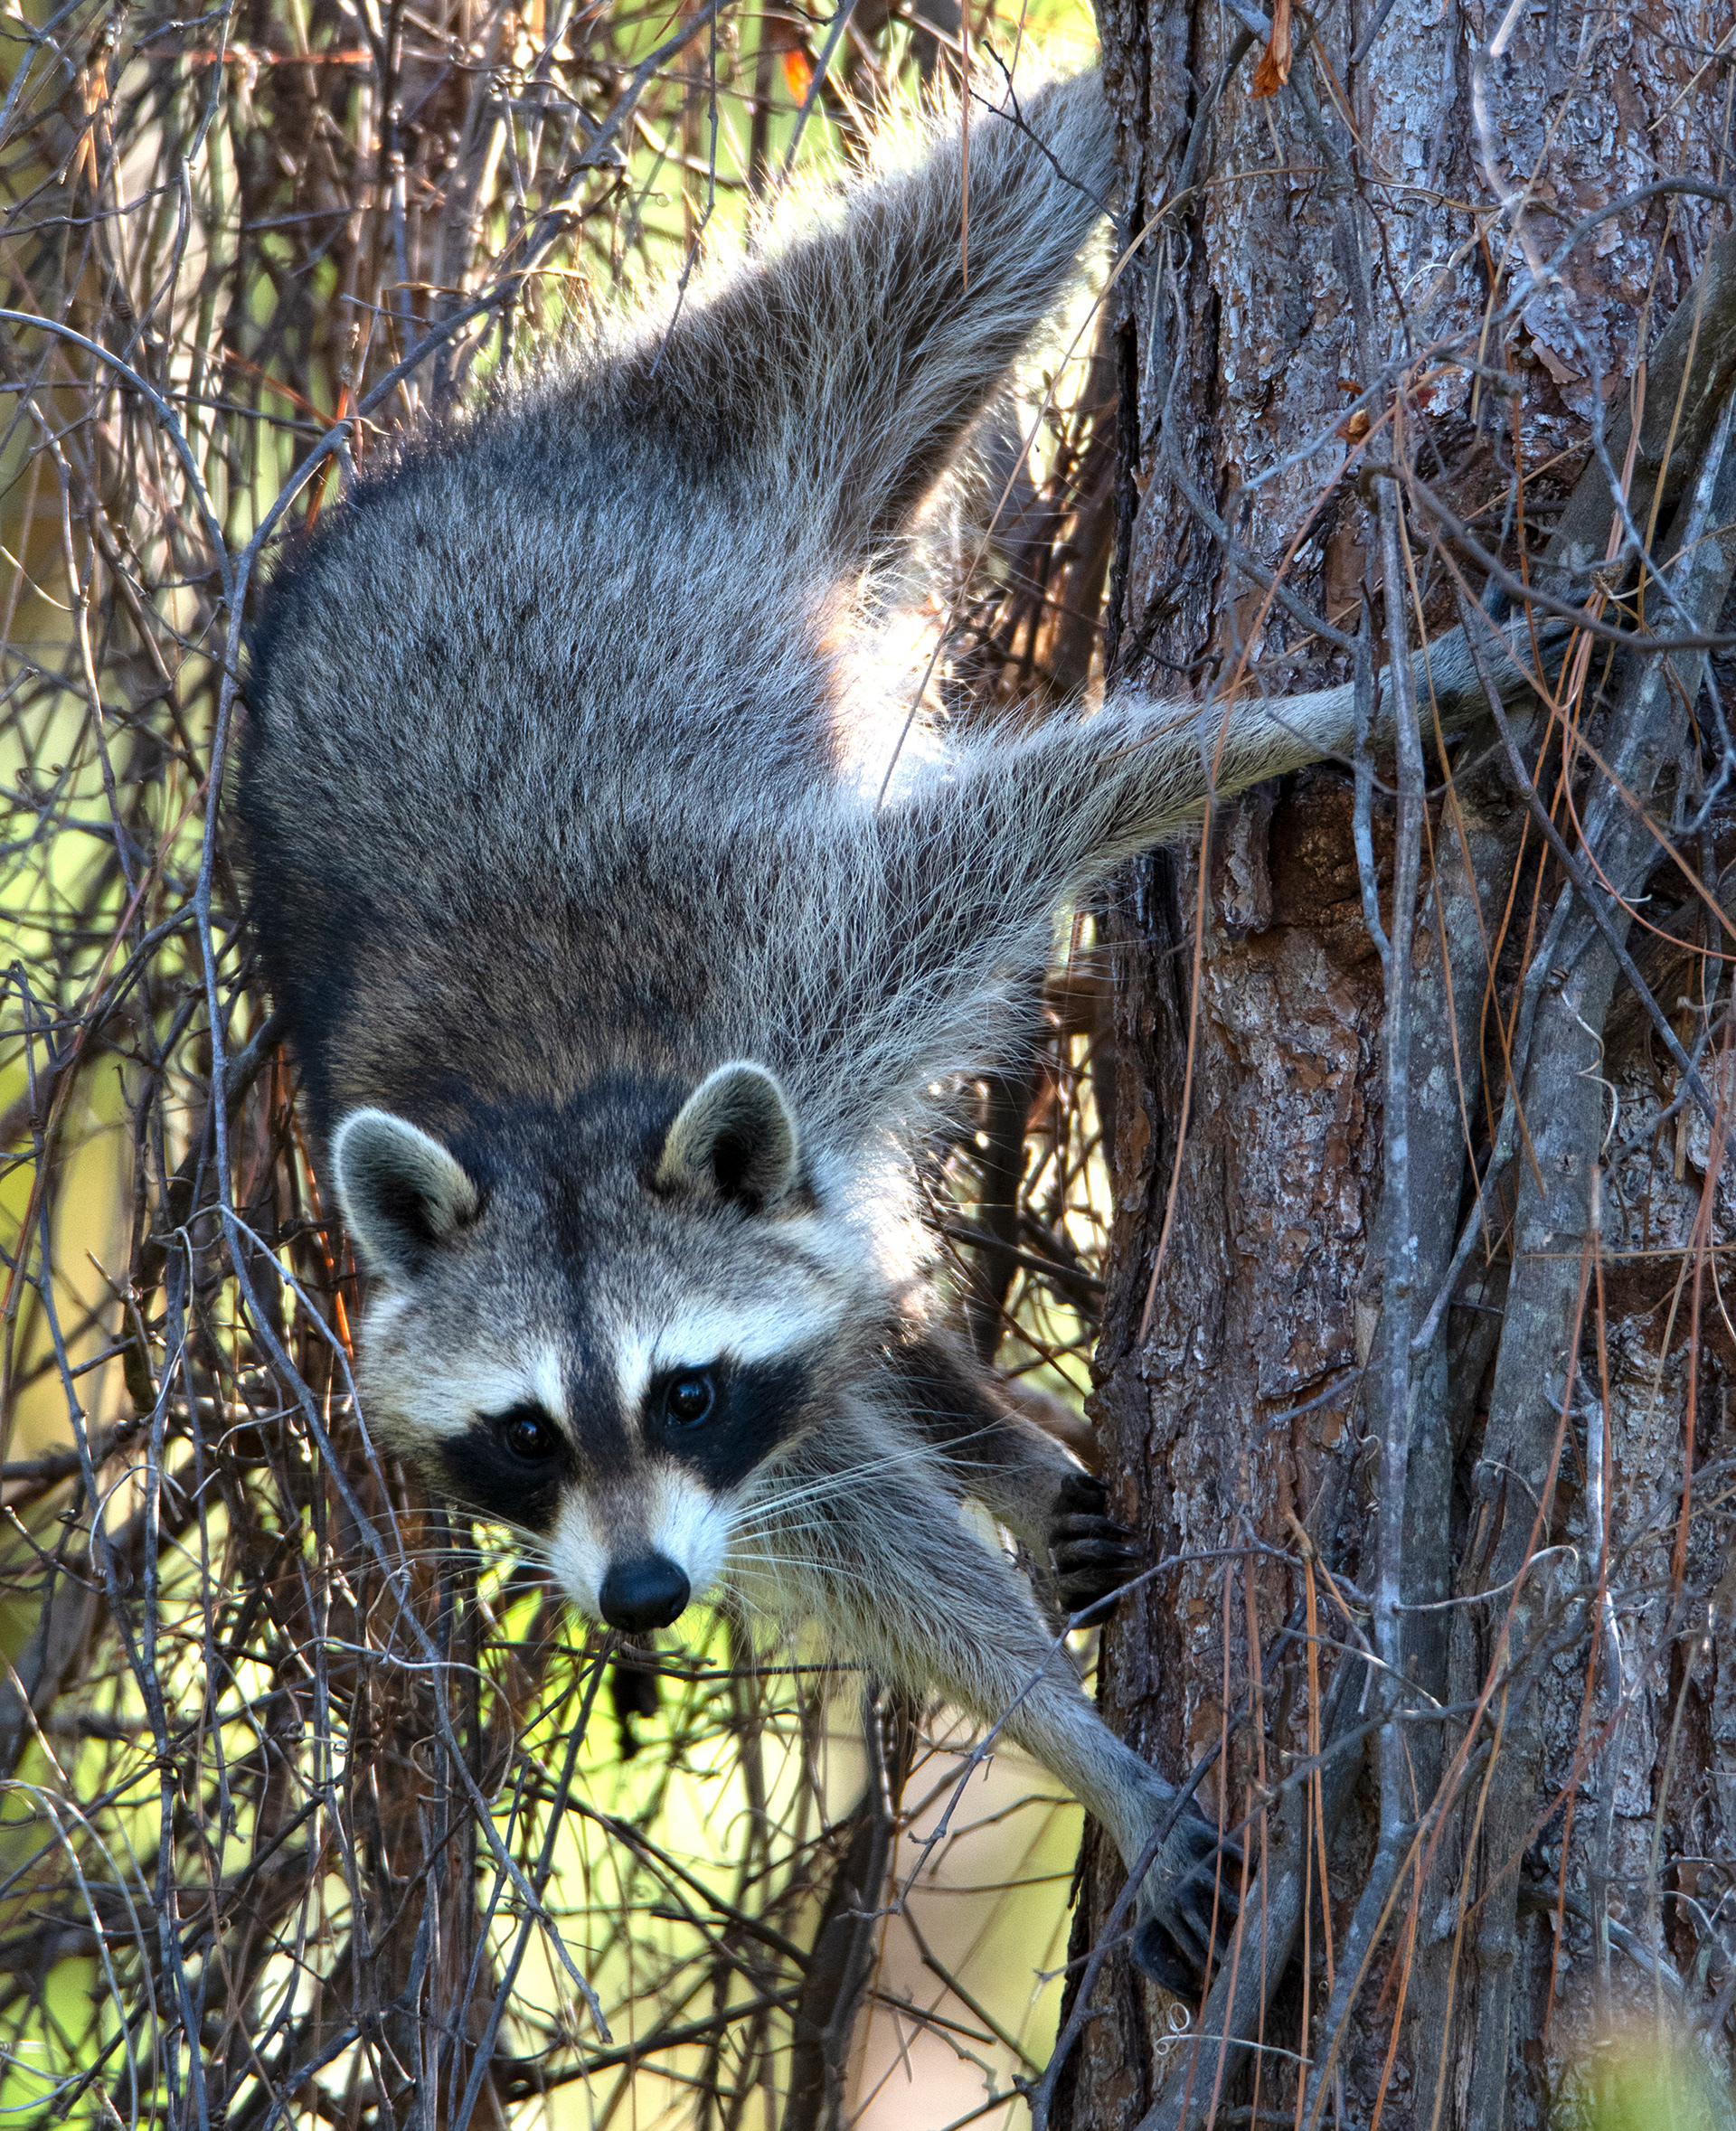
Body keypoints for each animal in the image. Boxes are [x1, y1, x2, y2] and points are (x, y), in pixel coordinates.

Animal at [239, 67, 1550, 1993]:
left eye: (681, 1386)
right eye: (527, 1433)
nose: (642, 1602)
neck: (558, 1115)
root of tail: (459, 461)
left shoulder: (808, 962)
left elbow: (1063, 802)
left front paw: (1326, 711)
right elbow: (846, 1515)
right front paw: (1078, 1737)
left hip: (731, 432)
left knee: (961, 232)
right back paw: (992, 1437)